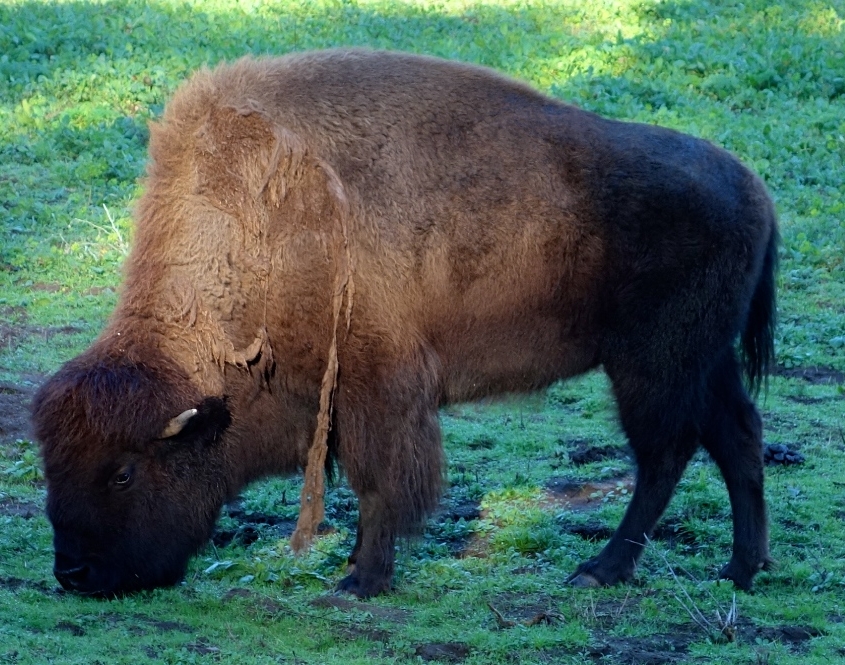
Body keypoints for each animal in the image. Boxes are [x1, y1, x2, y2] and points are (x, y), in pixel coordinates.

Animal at [34, 46, 780, 596]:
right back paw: (740, 570)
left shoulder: (378, 389)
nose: (73, 573)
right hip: (702, 361)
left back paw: (601, 569)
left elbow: (380, 483)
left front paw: (360, 580)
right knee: (736, 438)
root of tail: (755, 189)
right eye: (51, 465)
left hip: (651, 367)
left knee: (664, 456)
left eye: (124, 473)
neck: (257, 230)